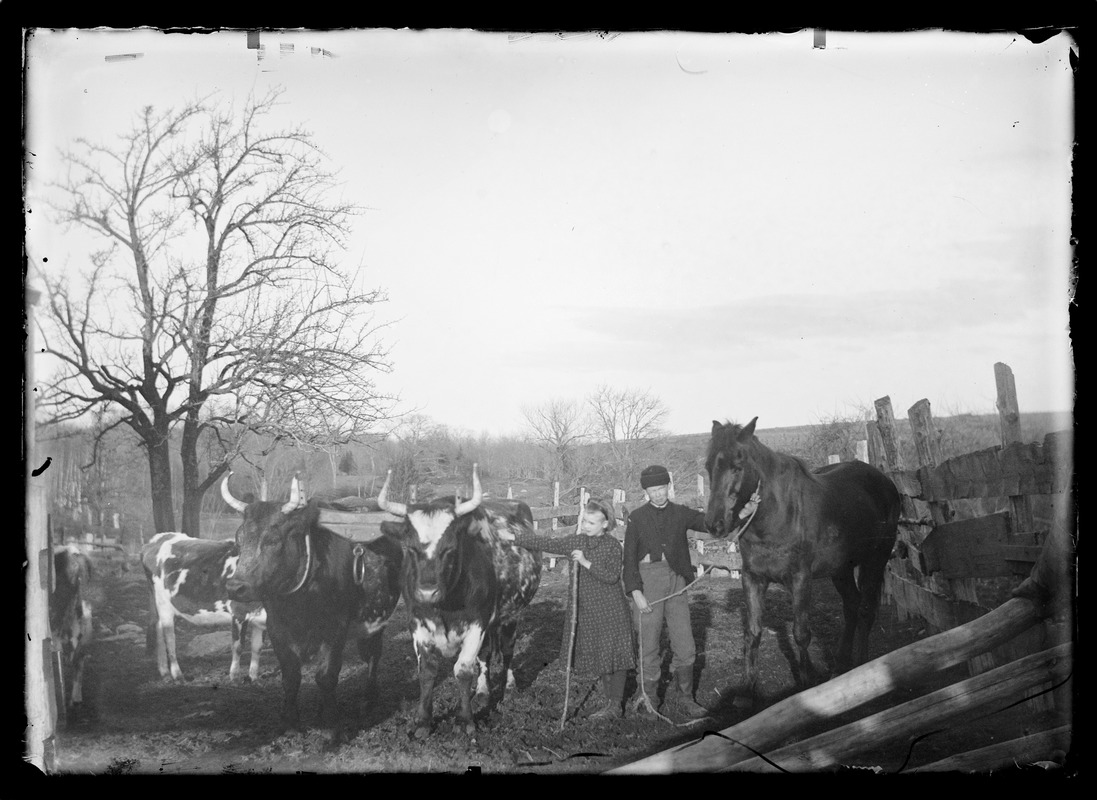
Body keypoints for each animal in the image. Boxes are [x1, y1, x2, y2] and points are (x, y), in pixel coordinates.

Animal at [140, 531, 266, 680]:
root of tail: (156, 540)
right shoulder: (238, 612)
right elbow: (238, 646)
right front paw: (234, 677)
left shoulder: (261, 619)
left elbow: (257, 648)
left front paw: (253, 678)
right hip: (163, 603)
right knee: (169, 637)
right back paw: (177, 674)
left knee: (158, 628)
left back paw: (164, 672)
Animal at [379, 465, 541, 737]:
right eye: (409, 548)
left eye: (450, 548)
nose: (427, 592)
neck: (445, 606)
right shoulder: (417, 623)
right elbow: (427, 672)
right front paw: (423, 722)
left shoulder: (477, 623)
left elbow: (463, 670)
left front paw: (465, 720)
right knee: (486, 656)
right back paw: (484, 692)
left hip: (511, 615)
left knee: (507, 651)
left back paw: (508, 687)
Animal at [706, 414, 895, 697]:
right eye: (709, 467)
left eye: (737, 466)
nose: (714, 525)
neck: (776, 517)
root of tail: (885, 482)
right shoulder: (752, 579)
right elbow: (753, 633)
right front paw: (748, 690)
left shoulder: (800, 579)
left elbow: (801, 633)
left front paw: (807, 683)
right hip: (841, 569)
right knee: (851, 606)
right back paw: (840, 667)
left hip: (875, 561)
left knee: (865, 609)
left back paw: (861, 665)